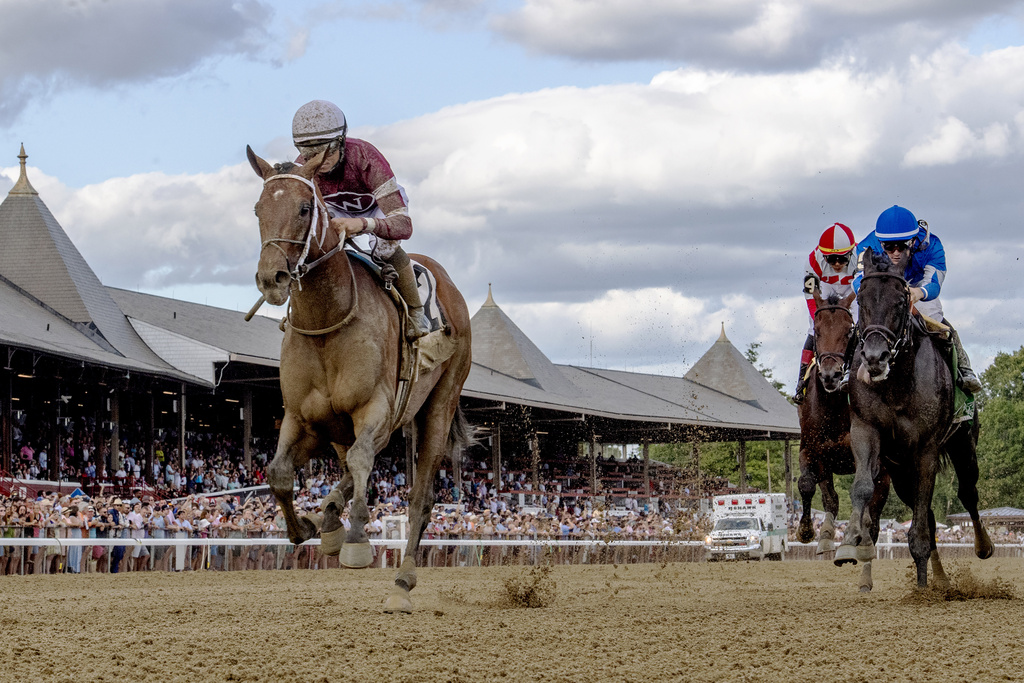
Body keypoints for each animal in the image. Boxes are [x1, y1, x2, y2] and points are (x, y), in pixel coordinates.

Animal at [831, 248, 991, 589]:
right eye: (862, 300)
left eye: (901, 301)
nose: (874, 358)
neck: (897, 384)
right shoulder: (865, 429)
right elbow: (862, 486)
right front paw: (849, 541)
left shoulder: (926, 448)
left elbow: (921, 523)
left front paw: (922, 588)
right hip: (900, 470)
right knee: (928, 516)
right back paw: (937, 578)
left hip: (963, 445)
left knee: (967, 493)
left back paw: (981, 547)